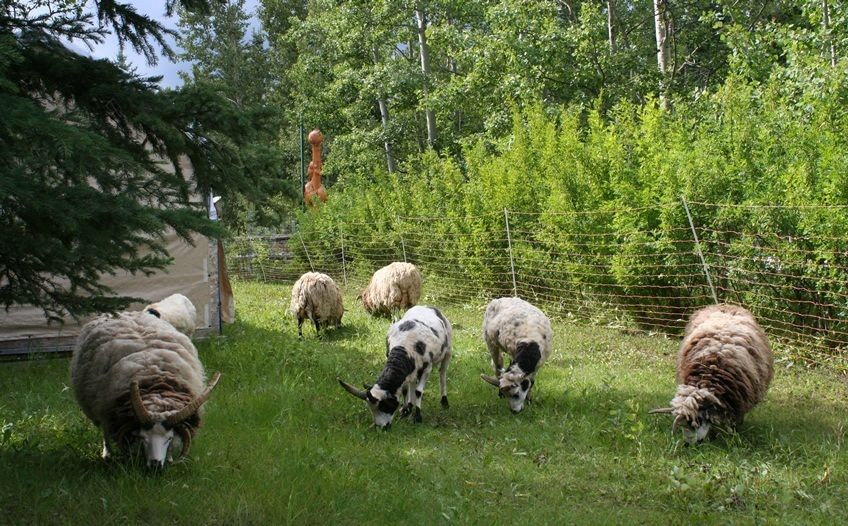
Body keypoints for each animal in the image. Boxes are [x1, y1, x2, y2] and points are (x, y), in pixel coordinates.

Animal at [70, 311, 221, 469]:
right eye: (142, 437)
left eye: (169, 438)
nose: (155, 465)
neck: (156, 386)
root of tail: (125, 312)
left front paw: (169, 458)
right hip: (100, 407)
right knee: (105, 431)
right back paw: (107, 454)